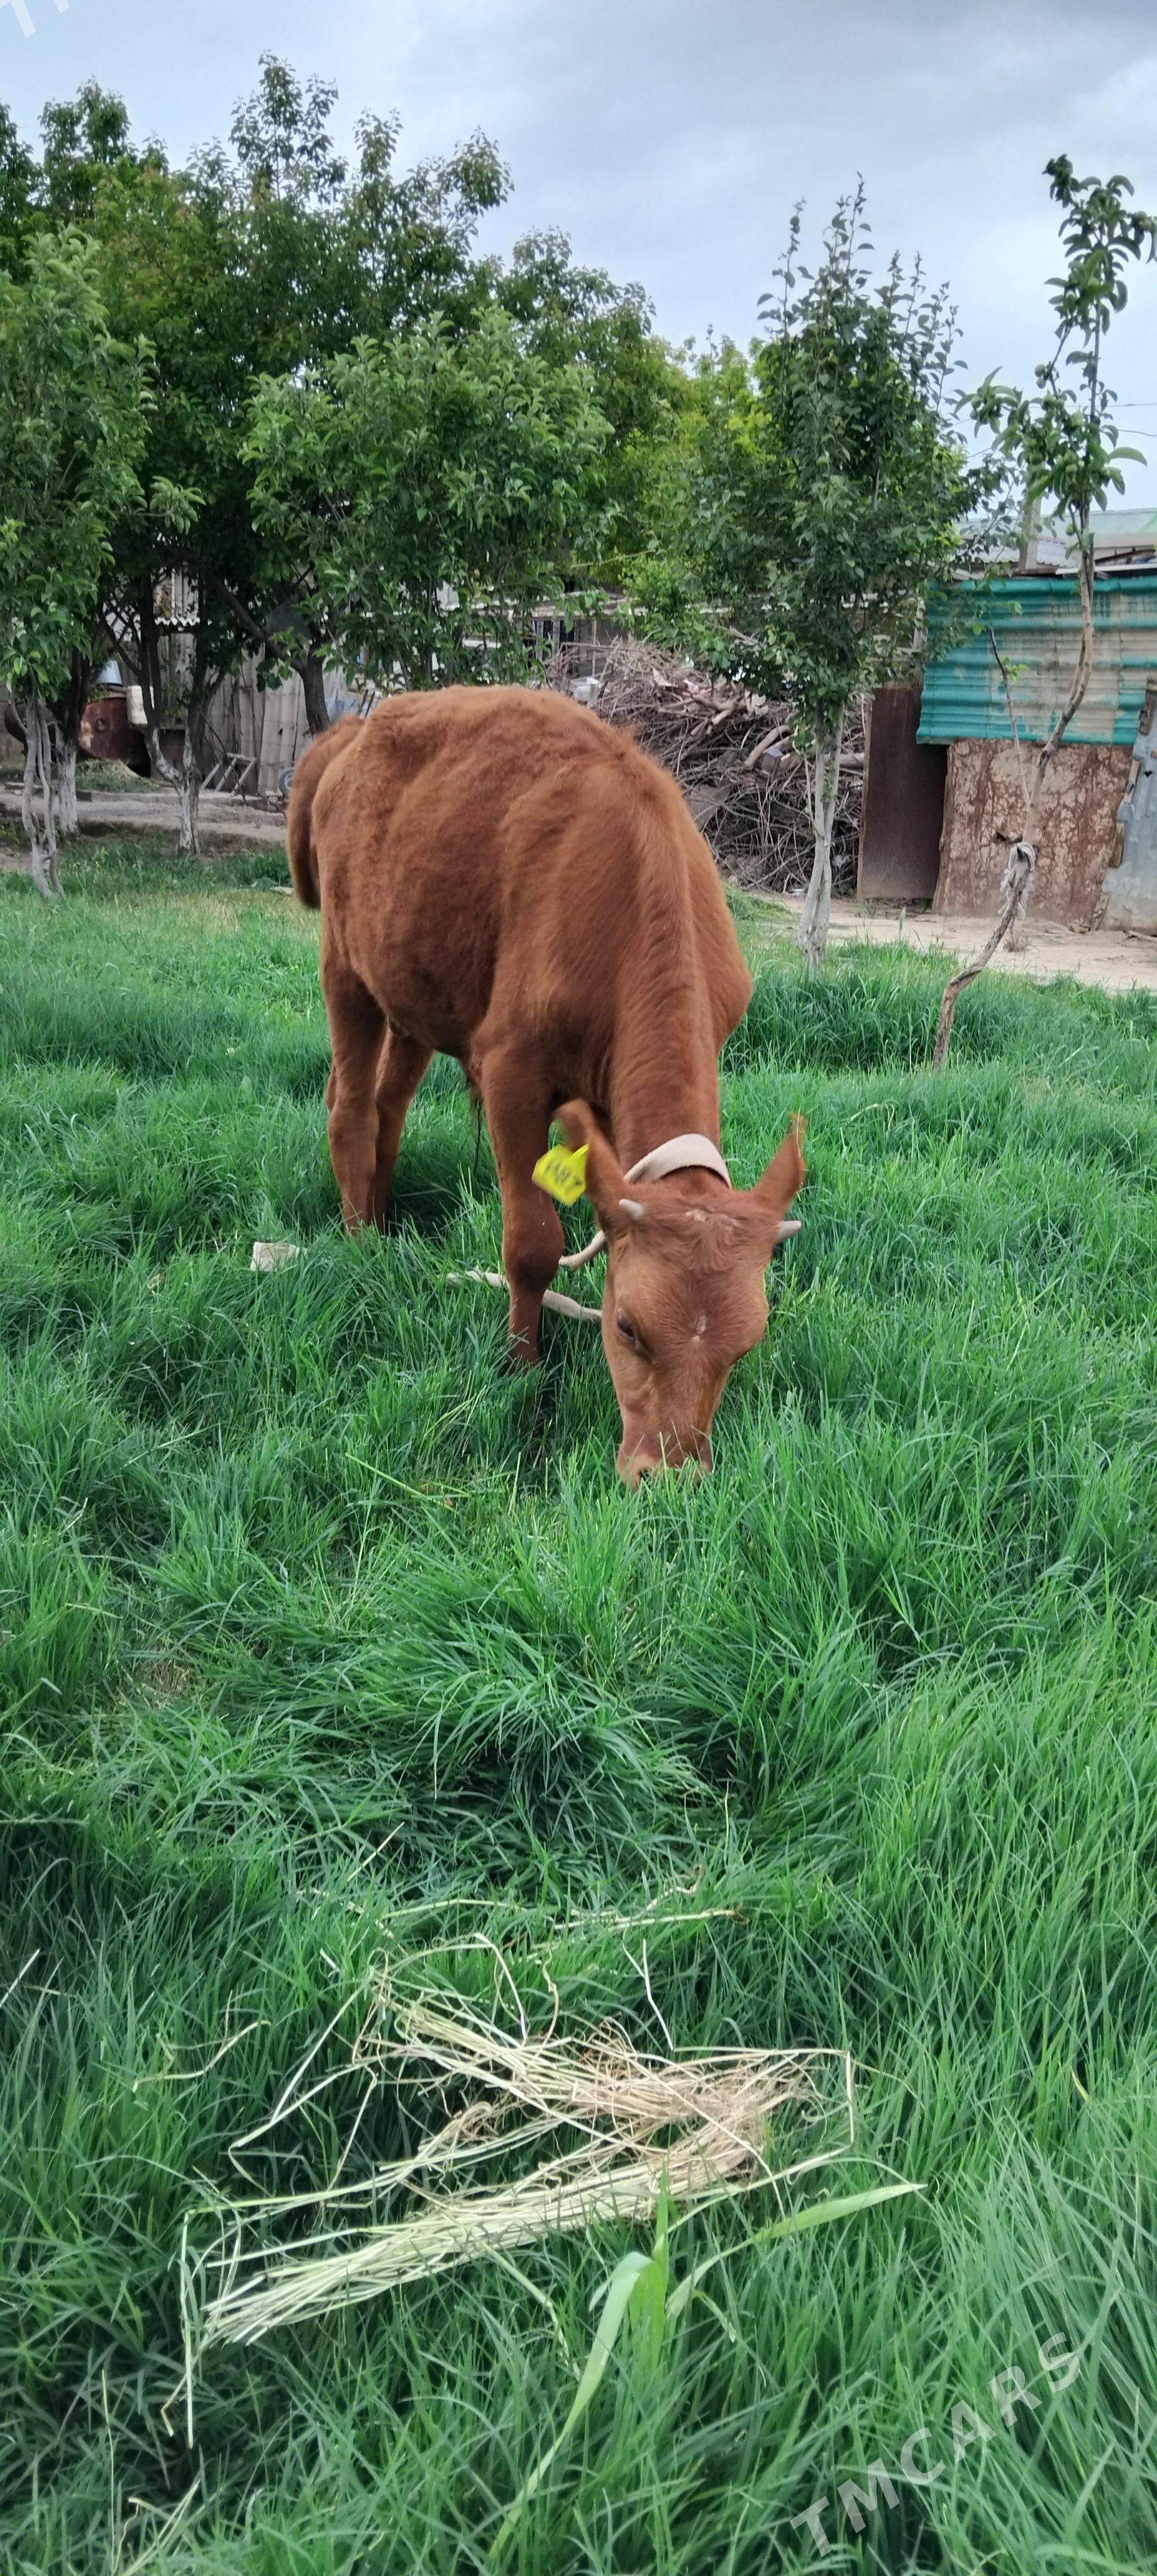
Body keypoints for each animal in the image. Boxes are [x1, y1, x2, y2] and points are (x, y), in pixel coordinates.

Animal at [287, 686, 804, 1482]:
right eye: (628, 1326)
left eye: (746, 1343)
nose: (667, 1477)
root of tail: (349, 733)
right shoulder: (511, 1068)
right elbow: (532, 1241)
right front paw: (523, 1376)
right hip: (345, 964)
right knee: (348, 1110)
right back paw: (359, 1246)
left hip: (414, 988)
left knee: (387, 1108)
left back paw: (379, 1220)